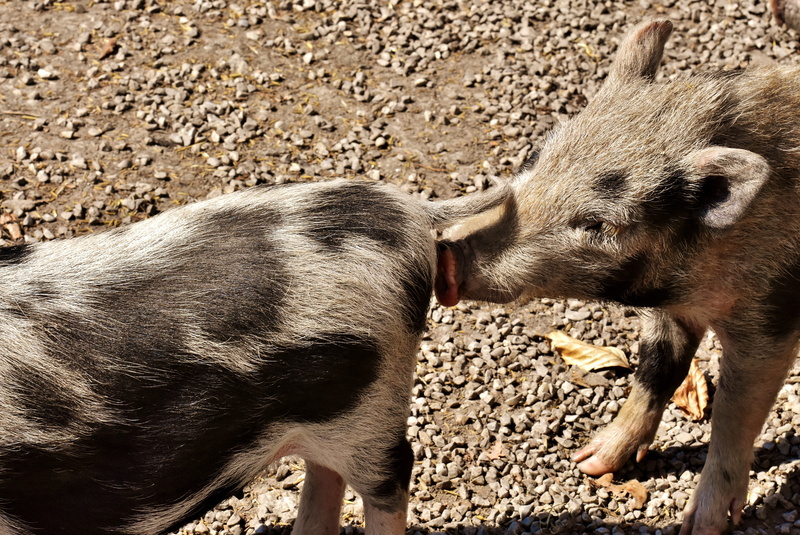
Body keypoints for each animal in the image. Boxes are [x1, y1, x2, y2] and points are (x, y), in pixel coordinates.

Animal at [436, 19, 800, 535]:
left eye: (599, 224)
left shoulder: (771, 317)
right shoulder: (672, 313)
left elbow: (734, 414)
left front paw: (699, 526)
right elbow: (656, 370)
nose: (448, 252)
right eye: (534, 158)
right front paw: (589, 463)